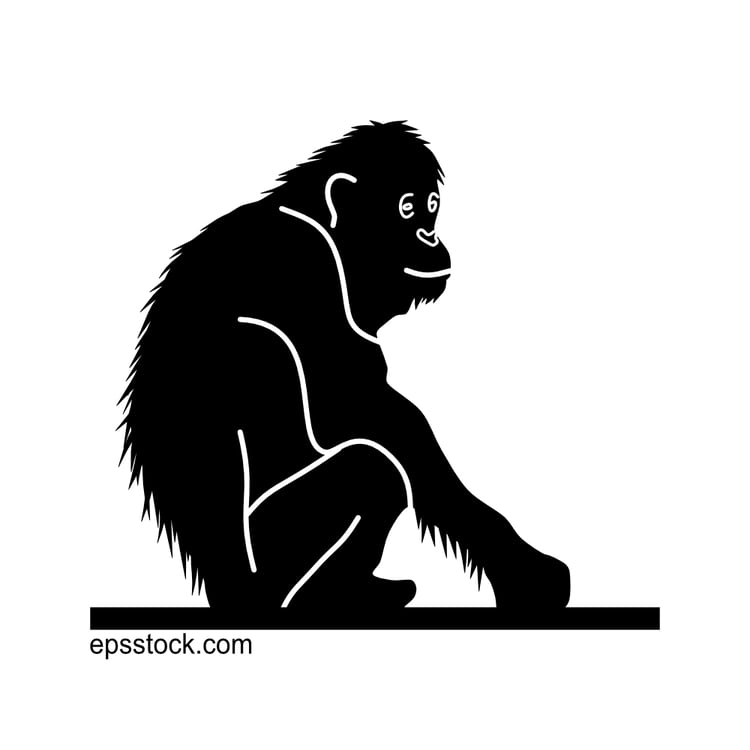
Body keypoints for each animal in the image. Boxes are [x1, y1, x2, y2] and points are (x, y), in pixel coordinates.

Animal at [119, 121, 570, 613]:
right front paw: (520, 566)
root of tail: (227, 594)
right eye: (406, 208)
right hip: (276, 551)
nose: (429, 237)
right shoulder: (308, 268)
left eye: (431, 207)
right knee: (371, 472)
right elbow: (370, 410)